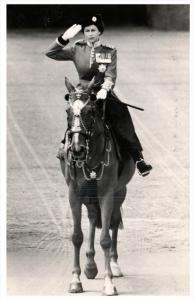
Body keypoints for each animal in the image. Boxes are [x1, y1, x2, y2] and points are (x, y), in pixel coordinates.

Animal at [59, 77, 136, 296]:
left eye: (90, 111)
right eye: (68, 112)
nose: (77, 149)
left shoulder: (107, 194)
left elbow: (105, 239)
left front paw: (109, 283)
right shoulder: (74, 195)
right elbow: (77, 236)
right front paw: (76, 280)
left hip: (120, 192)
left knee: (113, 222)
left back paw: (114, 265)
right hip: (89, 197)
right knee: (94, 218)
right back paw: (90, 266)